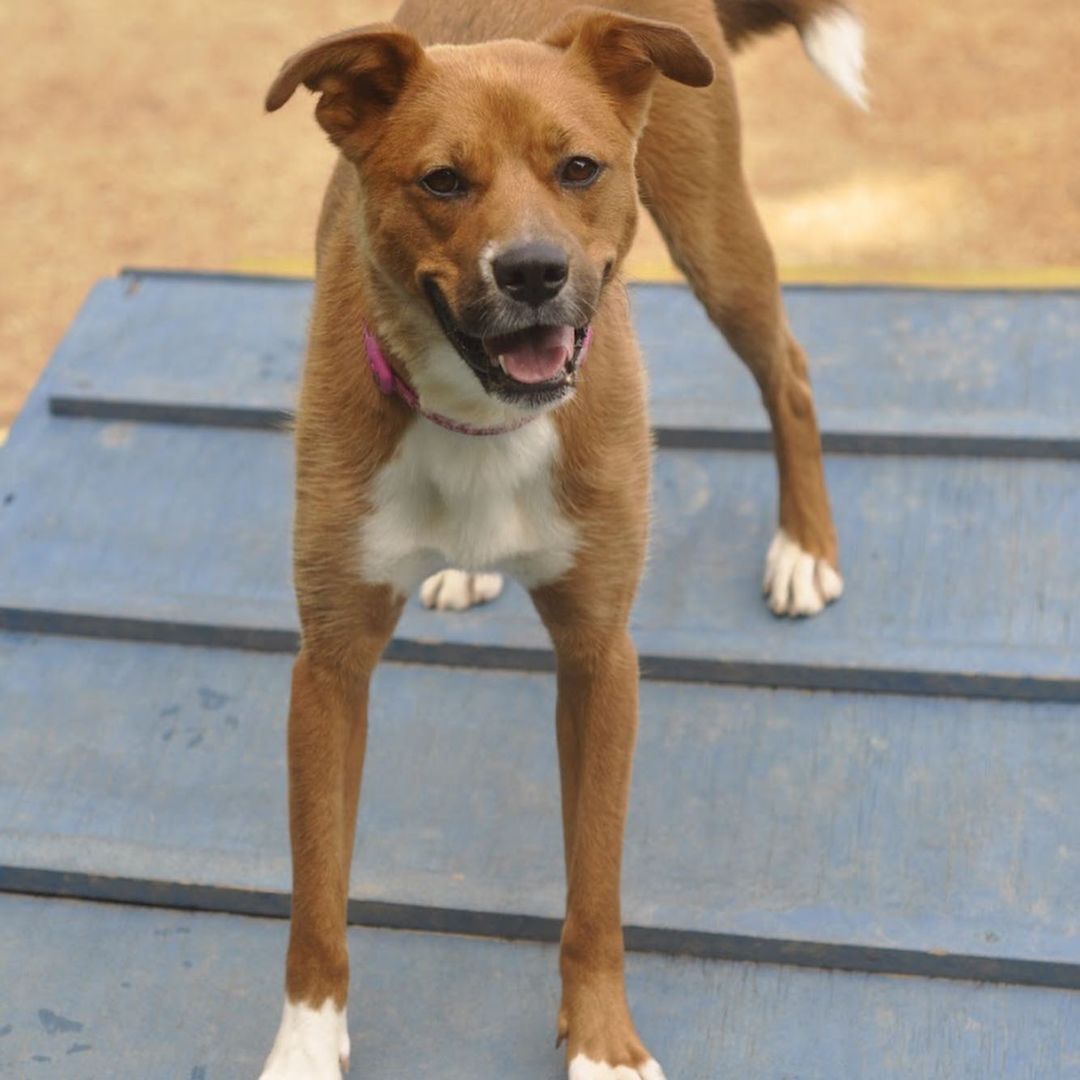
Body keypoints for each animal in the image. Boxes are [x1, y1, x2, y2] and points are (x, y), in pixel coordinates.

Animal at [259, 4, 859, 1075]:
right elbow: (318, 895)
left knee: (787, 368)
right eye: (442, 181)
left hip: (715, 233)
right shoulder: (328, 665)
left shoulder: (599, 656)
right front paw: (306, 1045)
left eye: (579, 168)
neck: (479, 416)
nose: (533, 272)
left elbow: (596, 886)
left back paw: (804, 546)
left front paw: (604, 1041)